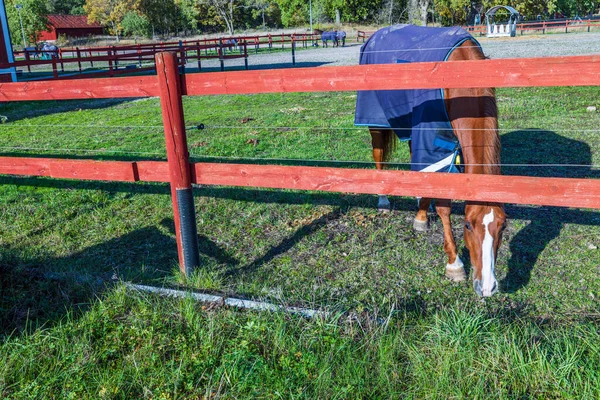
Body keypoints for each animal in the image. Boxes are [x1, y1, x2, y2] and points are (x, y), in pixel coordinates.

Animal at [356, 23, 506, 296]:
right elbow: (444, 204)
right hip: (376, 121)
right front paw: (454, 265)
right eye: (468, 225)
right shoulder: (432, 137)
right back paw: (383, 200)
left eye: (503, 226)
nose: (487, 287)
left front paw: (421, 216)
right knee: (378, 154)